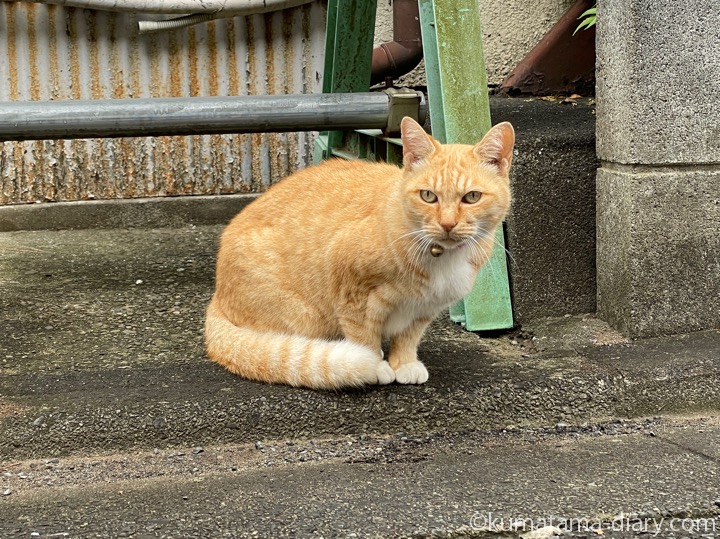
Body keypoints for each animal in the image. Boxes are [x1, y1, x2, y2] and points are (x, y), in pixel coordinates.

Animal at [205, 117, 516, 388]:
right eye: (428, 196)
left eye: (471, 197)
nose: (448, 224)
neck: (437, 255)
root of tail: (217, 296)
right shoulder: (351, 292)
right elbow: (363, 337)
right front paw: (373, 365)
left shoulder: (423, 309)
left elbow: (408, 337)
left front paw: (404, 363)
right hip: (304, 316)